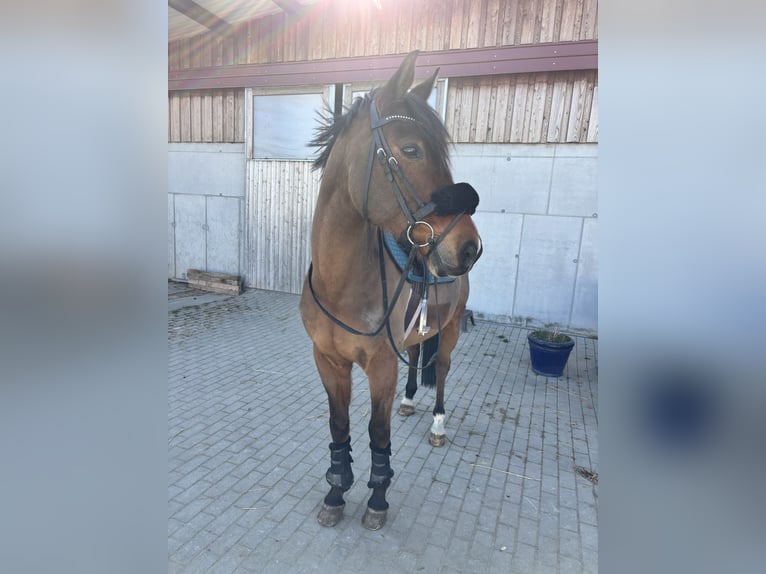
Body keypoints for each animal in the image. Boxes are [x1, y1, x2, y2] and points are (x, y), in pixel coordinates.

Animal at [299, 51, 482, 530]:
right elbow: (339, 428)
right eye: (411, 149)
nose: (469, 247)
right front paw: (336, 493)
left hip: (450, 330)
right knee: (418, 356)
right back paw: (409, 401)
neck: (341, 283)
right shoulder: (328, 361)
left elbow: (376, 433)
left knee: (442, 370)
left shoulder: (381, 365)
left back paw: (436, 424)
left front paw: (377, 501)